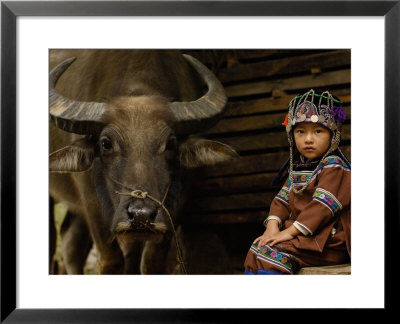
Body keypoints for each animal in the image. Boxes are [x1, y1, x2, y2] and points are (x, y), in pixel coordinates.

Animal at [50, 50, 238, 274]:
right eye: (105, 144)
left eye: (171, 144)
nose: (141, 215)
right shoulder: (91, 204)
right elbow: (111, 261)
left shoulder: (175, 206)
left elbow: (151, 261)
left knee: (71, 240)